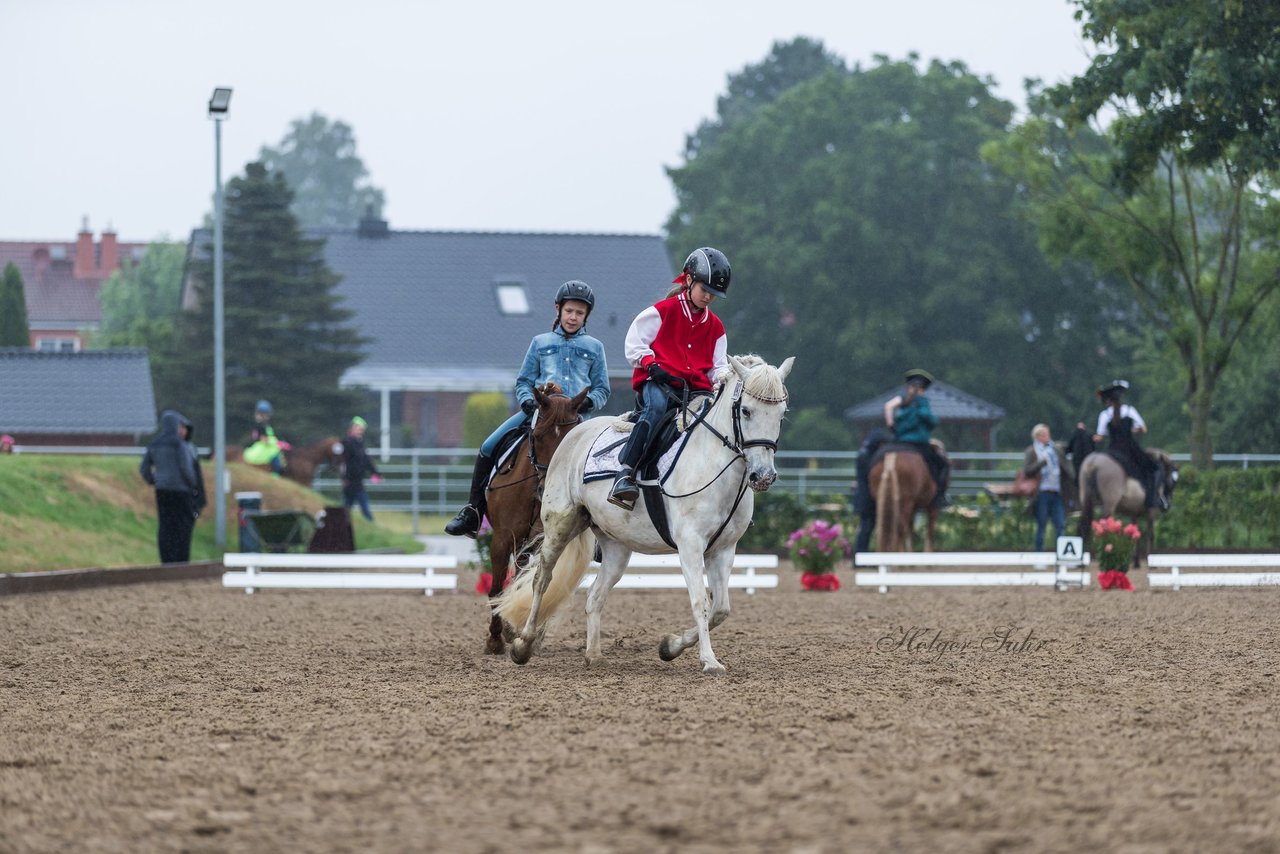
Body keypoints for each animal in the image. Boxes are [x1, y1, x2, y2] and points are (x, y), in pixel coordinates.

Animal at [481, 384, 591, 660]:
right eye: (538, 436)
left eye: (571, 439)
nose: (546, 489)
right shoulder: (501, 538)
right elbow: (496, 588)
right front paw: (495, 639)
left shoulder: (539, 539)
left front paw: (514, 633)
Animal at [494, 353, 793, 676]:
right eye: (747, 411)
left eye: (781, 414)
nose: (763, 476)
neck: (712, 464)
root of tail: (575, 433)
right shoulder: (690, 545)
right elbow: (700, 602)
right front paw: (709, 660)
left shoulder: (724, 549)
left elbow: (721, 609)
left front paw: (670, 647)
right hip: (561, 526)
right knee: (542, 579)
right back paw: (523, 645)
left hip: (615, 548)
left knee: (594, 596)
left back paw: (593, 655)